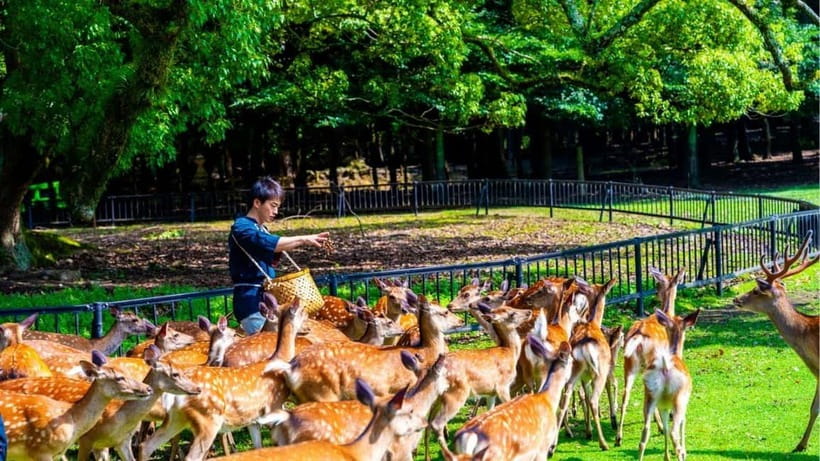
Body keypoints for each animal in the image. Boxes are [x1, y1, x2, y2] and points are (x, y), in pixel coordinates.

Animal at [138, 297, 307, 461]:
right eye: (302, 312)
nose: (307, 328)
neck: (278, 358)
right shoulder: (274, 405)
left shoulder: (252, 418)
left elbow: (258, 447)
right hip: (208, 419)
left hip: (175, 418)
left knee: (145, 446)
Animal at [556, 278, 617, 451]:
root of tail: (585, 347)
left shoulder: (584, 376)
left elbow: (583, 394)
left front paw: (588, 431)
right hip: (599, 372)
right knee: (593, 400)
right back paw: (603, 443)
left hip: (576, 370)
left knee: (565, 396)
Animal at [616, 266, 686, 446]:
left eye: (658, 284)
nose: (655, 293)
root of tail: (638, 337)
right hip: (651, 361)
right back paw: (660, 427)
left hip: (629, 363)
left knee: (625, 394)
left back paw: (618, 437)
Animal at [638, 309, 700, 461]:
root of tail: (665, 367)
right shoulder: (685, 402)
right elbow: (683, 422)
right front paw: (684, 451)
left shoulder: (663, 406)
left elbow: (665, 428)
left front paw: (666, 457)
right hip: (679, 398)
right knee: (674, 431)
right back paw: (681, 453)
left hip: (650, 395)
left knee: (644, 434)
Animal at [733, 232, 819, 453]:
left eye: (756, 291)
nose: (736, 299)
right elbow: (814, 407)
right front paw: (801, 444)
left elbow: (814, 407)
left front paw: (801, 444)